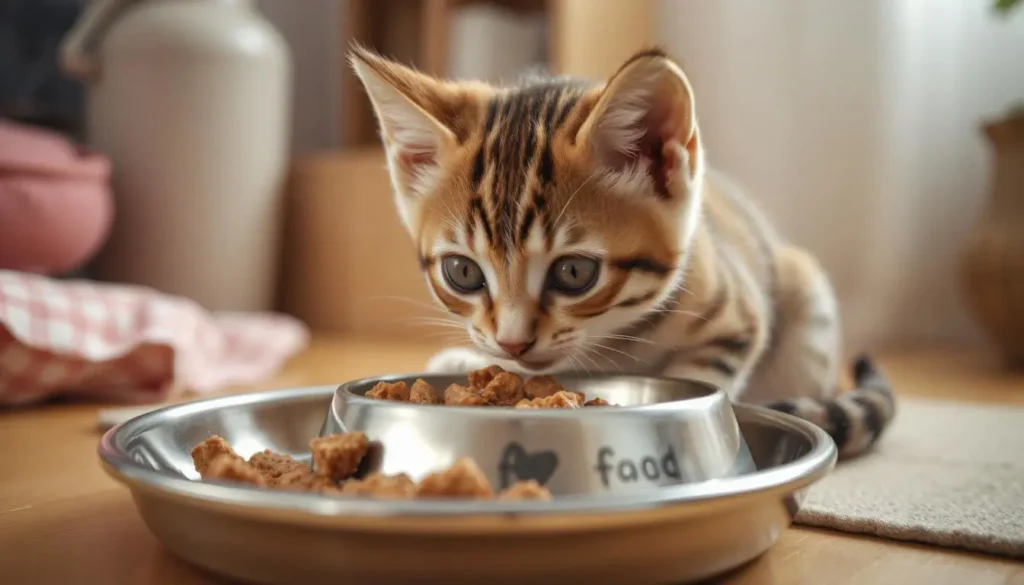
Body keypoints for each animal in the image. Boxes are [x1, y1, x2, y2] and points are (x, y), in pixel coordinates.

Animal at [352, 45, 897, 461]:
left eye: (574, 272)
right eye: (462, 272)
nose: (513, 343)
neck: (611, 339)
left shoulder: (739, 321)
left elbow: (699, 377)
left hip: (808, 304)